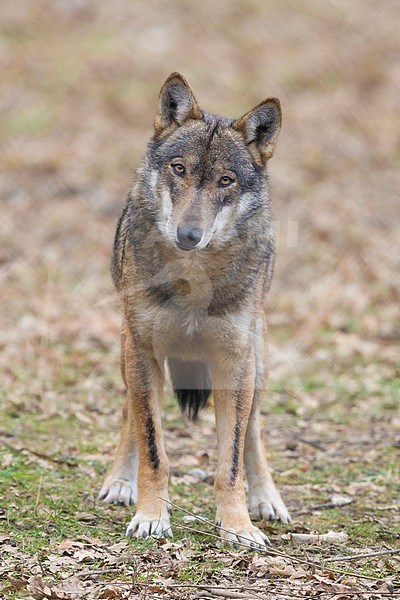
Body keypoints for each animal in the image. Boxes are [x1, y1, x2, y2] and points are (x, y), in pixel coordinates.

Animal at [98, 71, 290, 548]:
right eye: (179, 169)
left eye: (225, 181)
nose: (189, 235)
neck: (192, 278)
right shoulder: (144, 353)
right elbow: (153, 448)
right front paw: (151, 517)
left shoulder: (234, 363)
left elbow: (231, 460)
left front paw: (238, 526)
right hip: (129, 353)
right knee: (130, 413)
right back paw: (120, 482)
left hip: (257, 364)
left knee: (254, 430)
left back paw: (268, 500)